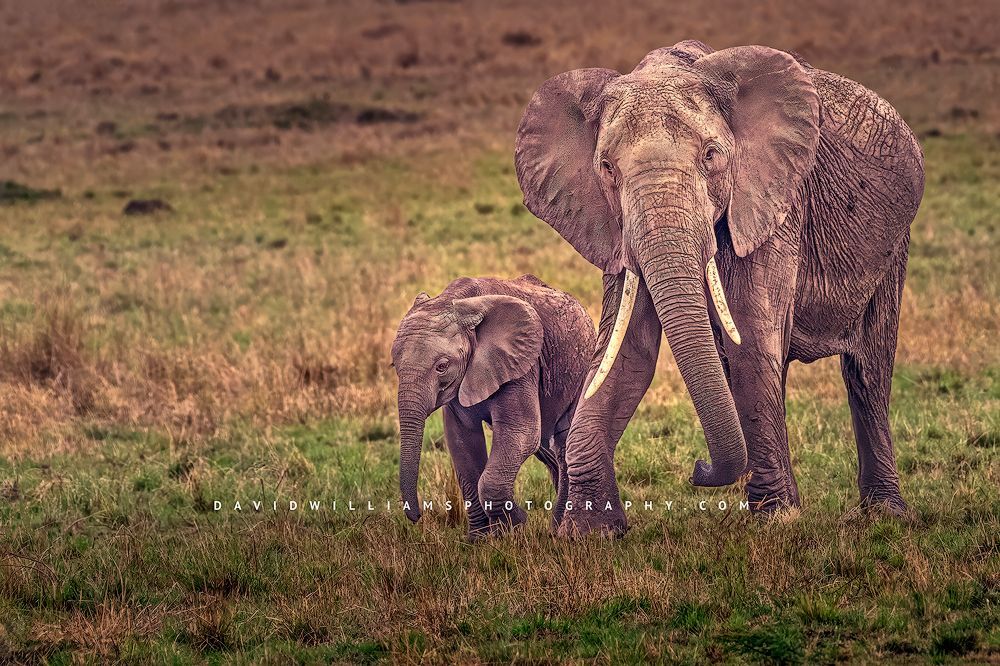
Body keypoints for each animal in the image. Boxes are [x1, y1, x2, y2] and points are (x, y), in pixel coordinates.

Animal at [391, 274, 596, 539]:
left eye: (442, 366)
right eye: (394, 364)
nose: (417, 517)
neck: (457, 302)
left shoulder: (521, 365)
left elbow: (521, 432)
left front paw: (515, 524)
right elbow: (462, 440)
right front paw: (479, 539)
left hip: (582, 369)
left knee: (563, 442)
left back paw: (559, 530)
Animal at [514, 40, 924, 536]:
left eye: (711, 155)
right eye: (607, 168)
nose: (698, 468)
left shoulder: (775, 202)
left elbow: (752, 337)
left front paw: (777, 519)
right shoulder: (615, 230)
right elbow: (627, 355)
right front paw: (587, 532)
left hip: (893, 243)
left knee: (868, 370)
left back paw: (883, 513)